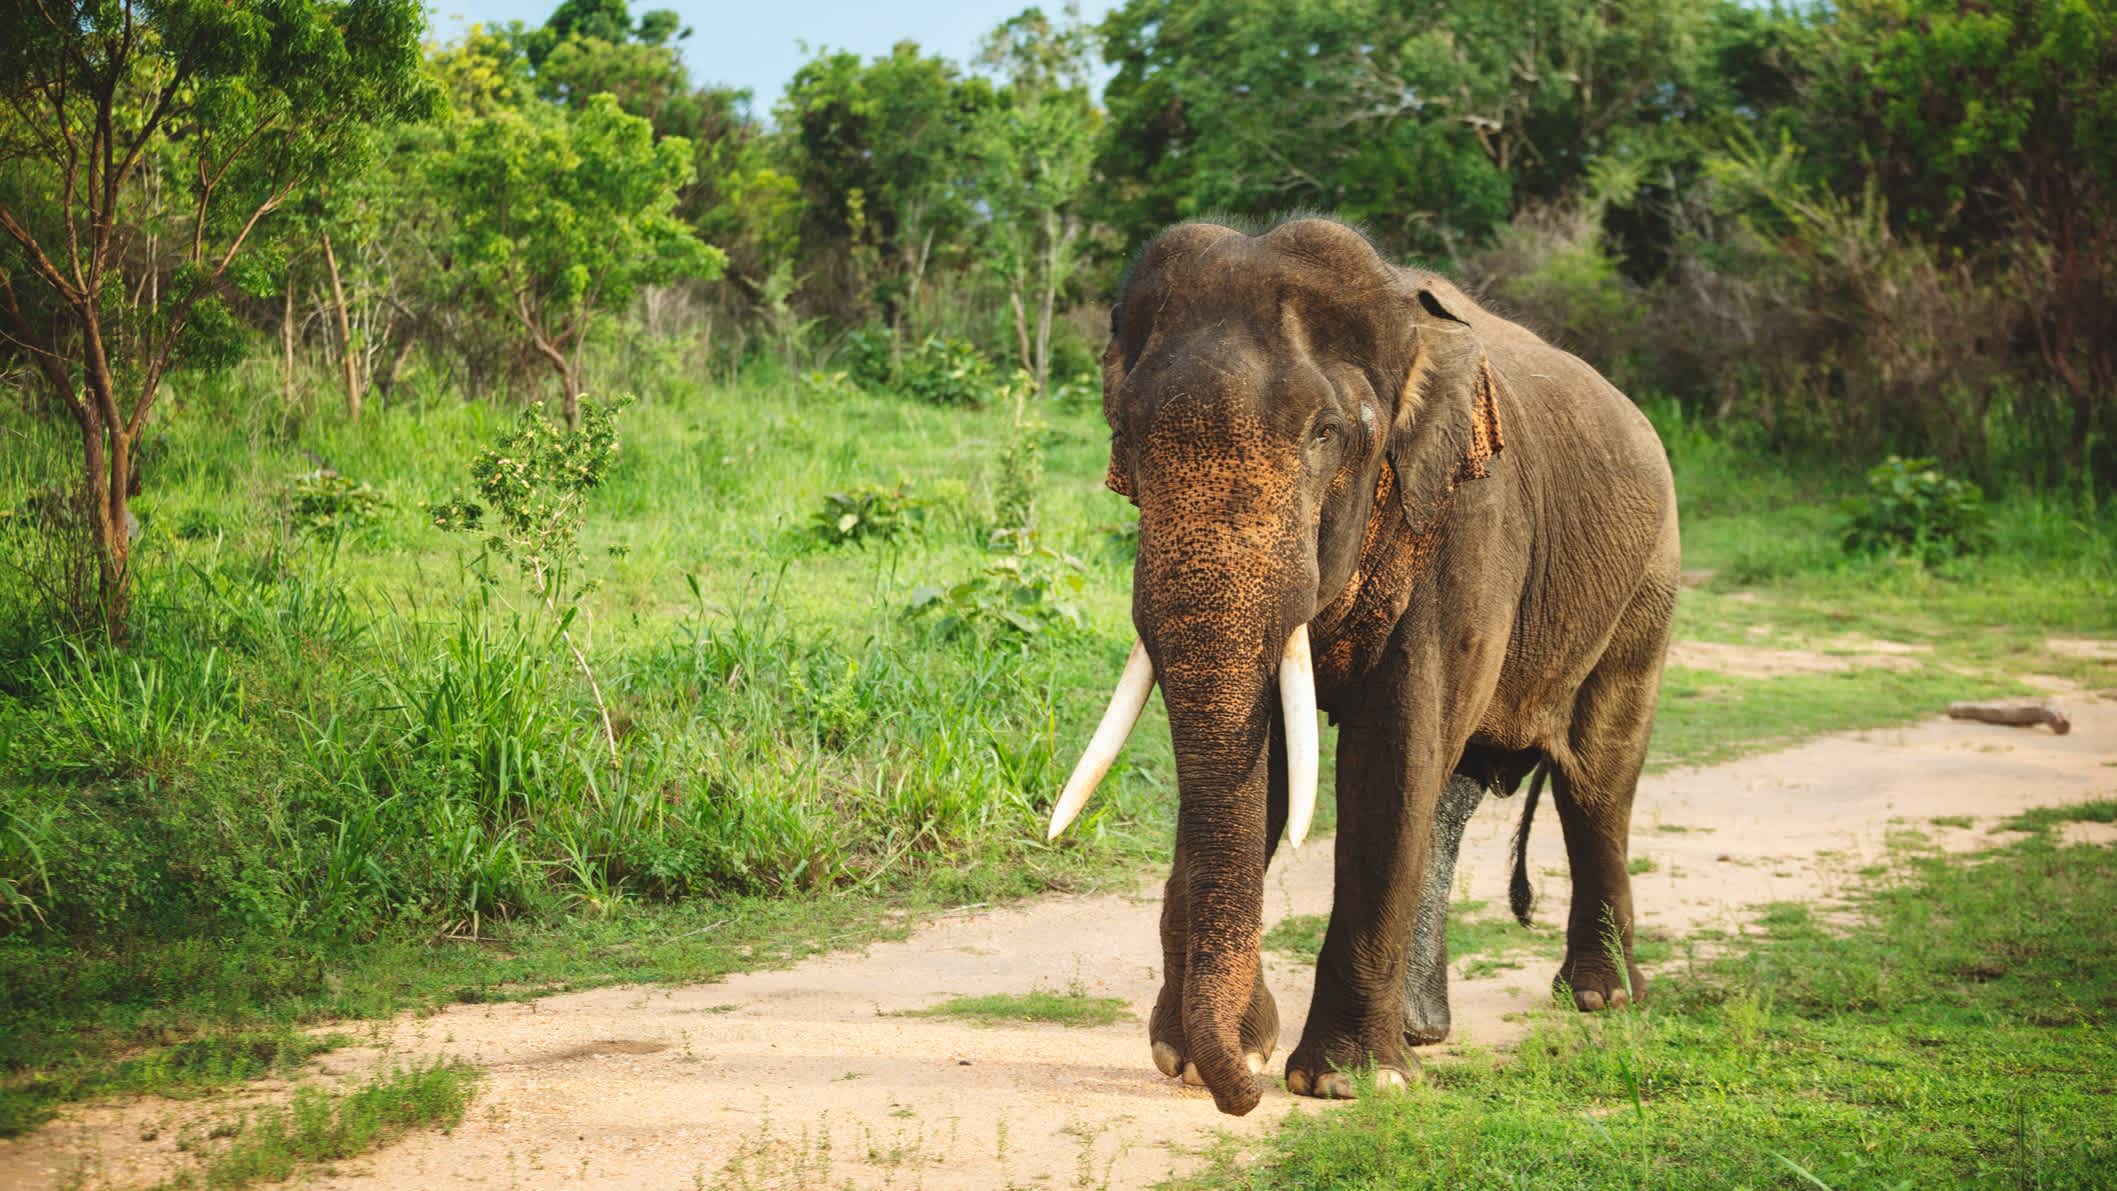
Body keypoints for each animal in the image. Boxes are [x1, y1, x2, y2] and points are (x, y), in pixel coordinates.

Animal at [1050, 216, 1676, 1116]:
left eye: (1326, 434)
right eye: (1125, 435)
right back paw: (1423, 1029)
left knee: (1595, 777)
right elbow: (1271, 762)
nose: (1236, 1092)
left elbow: (1392, 749)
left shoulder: (1464, 515)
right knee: (1456, 789)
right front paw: (1204, 1053)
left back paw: (1598, 996)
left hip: (1645, 587)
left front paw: (1343, 1080)